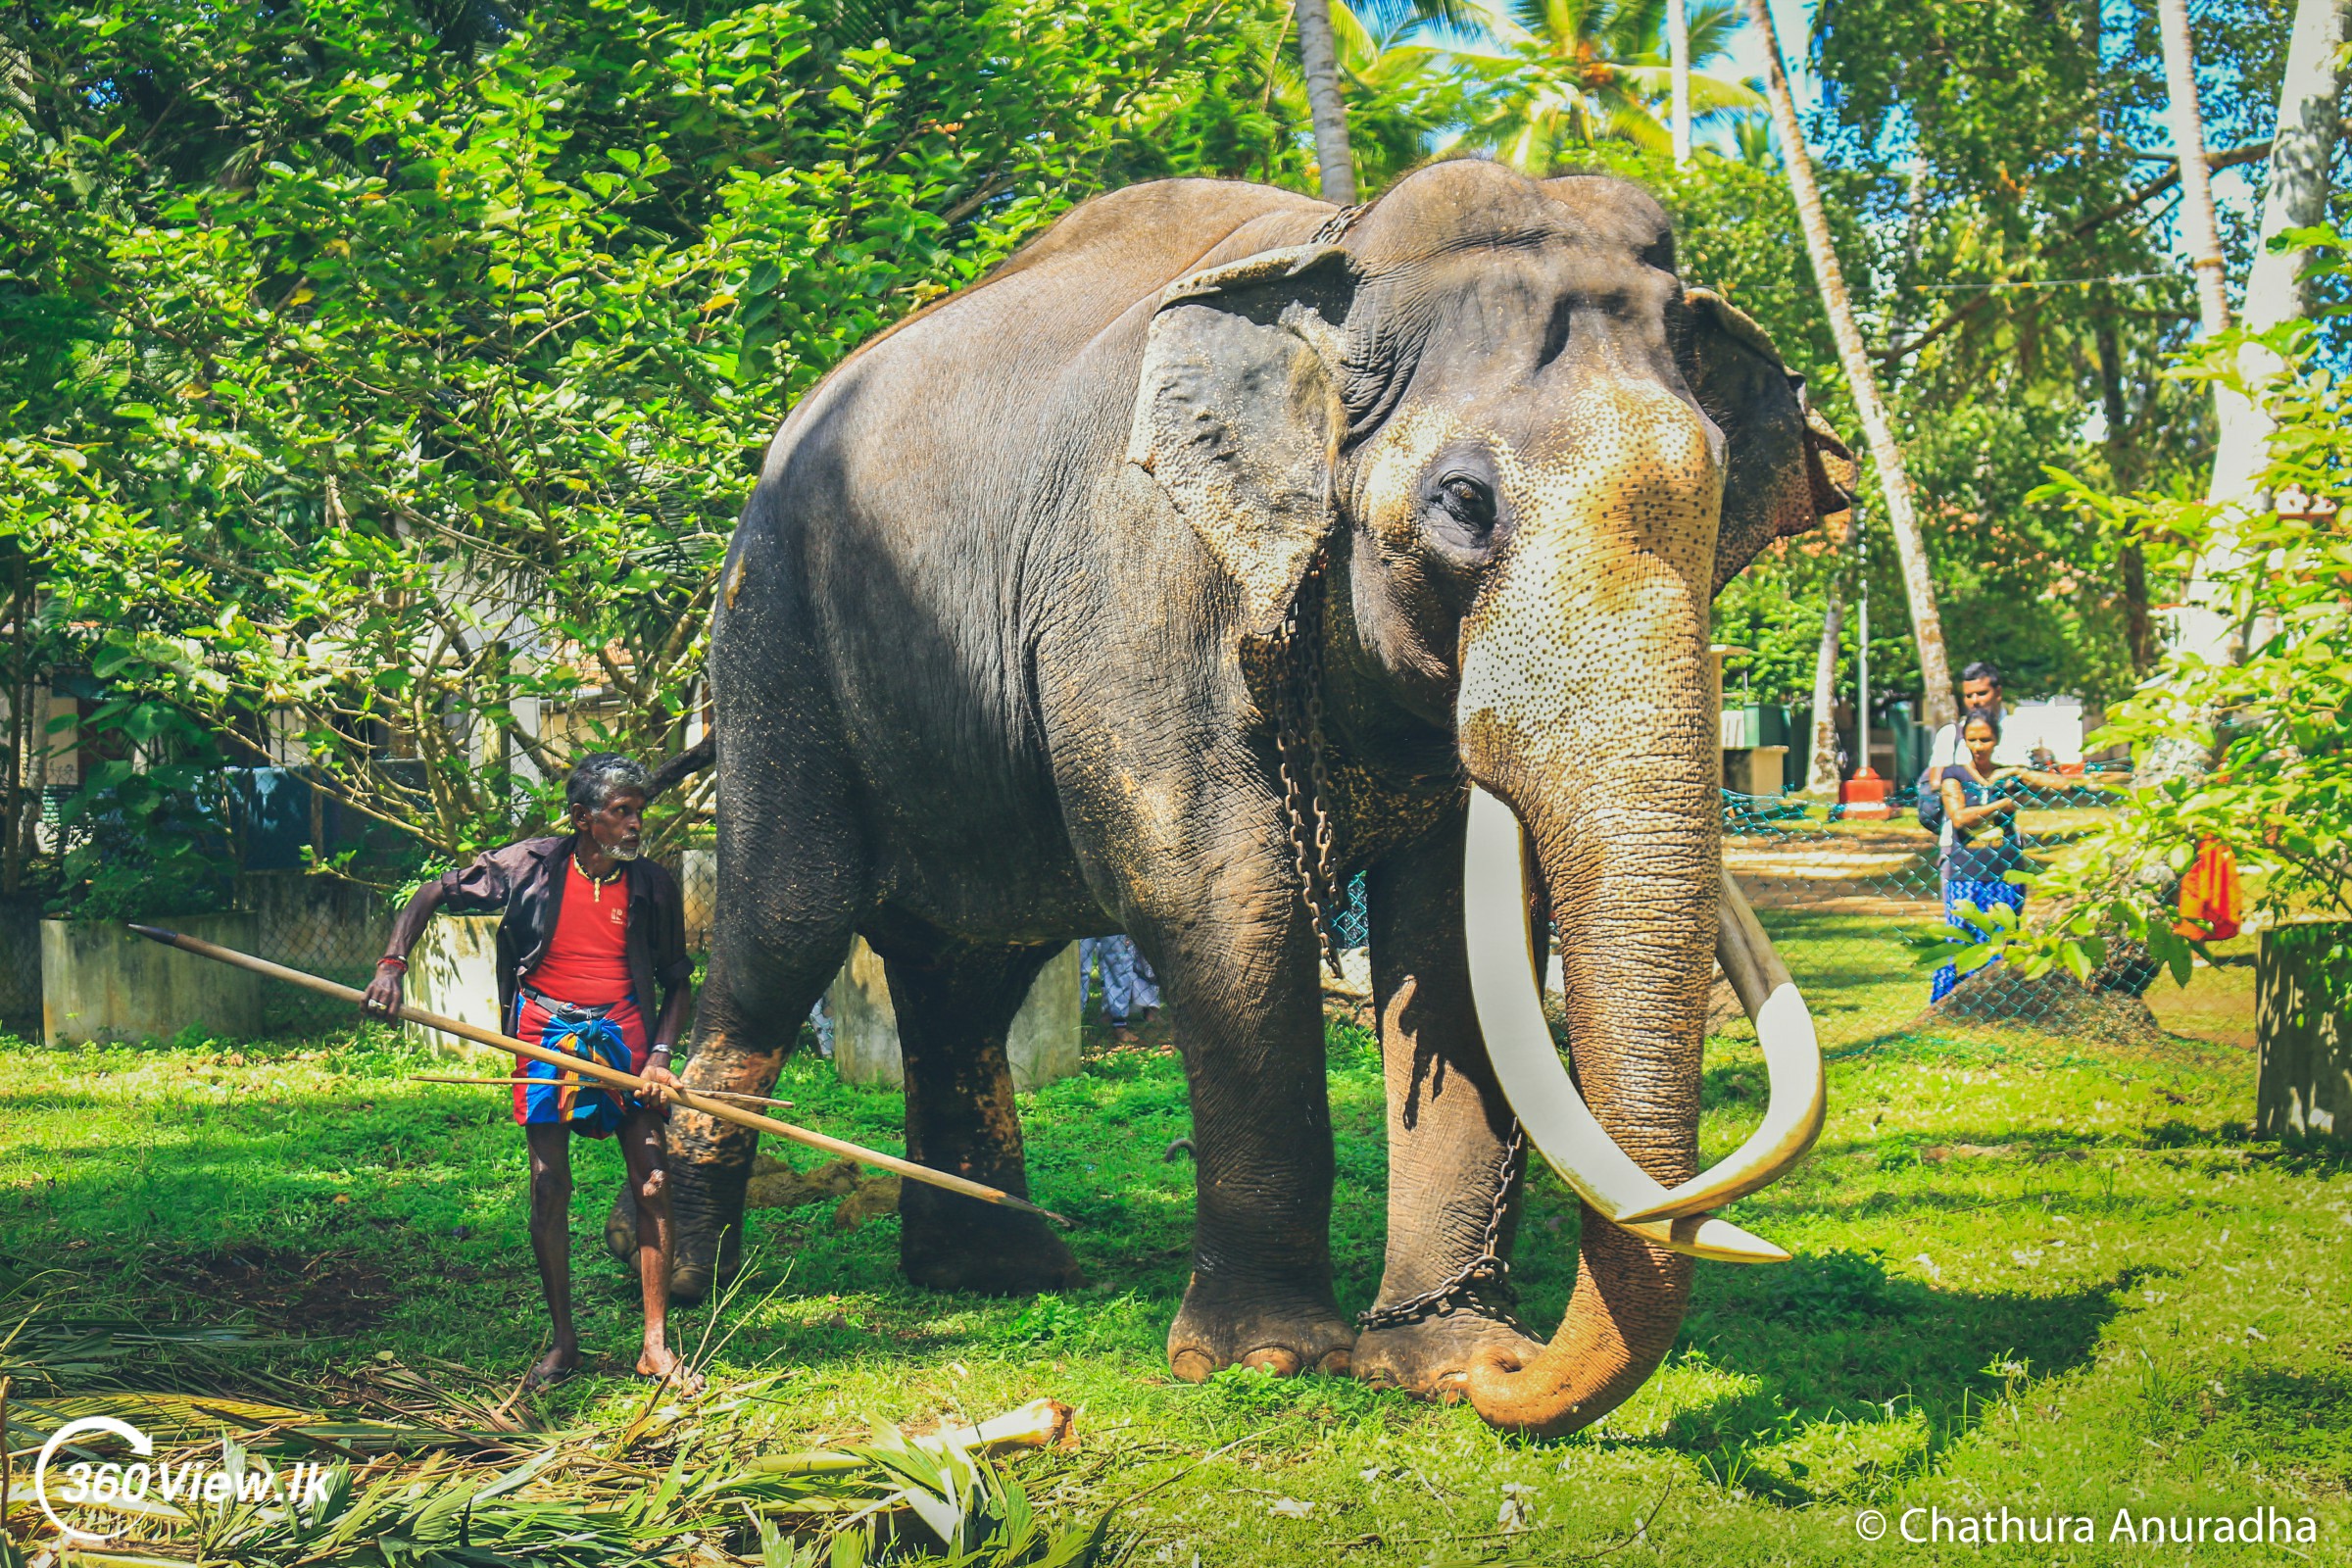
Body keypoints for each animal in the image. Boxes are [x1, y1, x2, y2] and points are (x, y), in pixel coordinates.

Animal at [662, 156, 1853, 1439]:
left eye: (1717, 498)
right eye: (1465, 502)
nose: (1508, 1373)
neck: (1335, 257)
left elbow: (1450, 947)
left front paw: (1436, 1355)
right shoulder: (1141, 588)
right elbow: (1224, 898)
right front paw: (1272, 1360)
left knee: (969, 971)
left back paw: (995, 1273)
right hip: (771, 634)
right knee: (790, 923)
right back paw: (692, 1284)